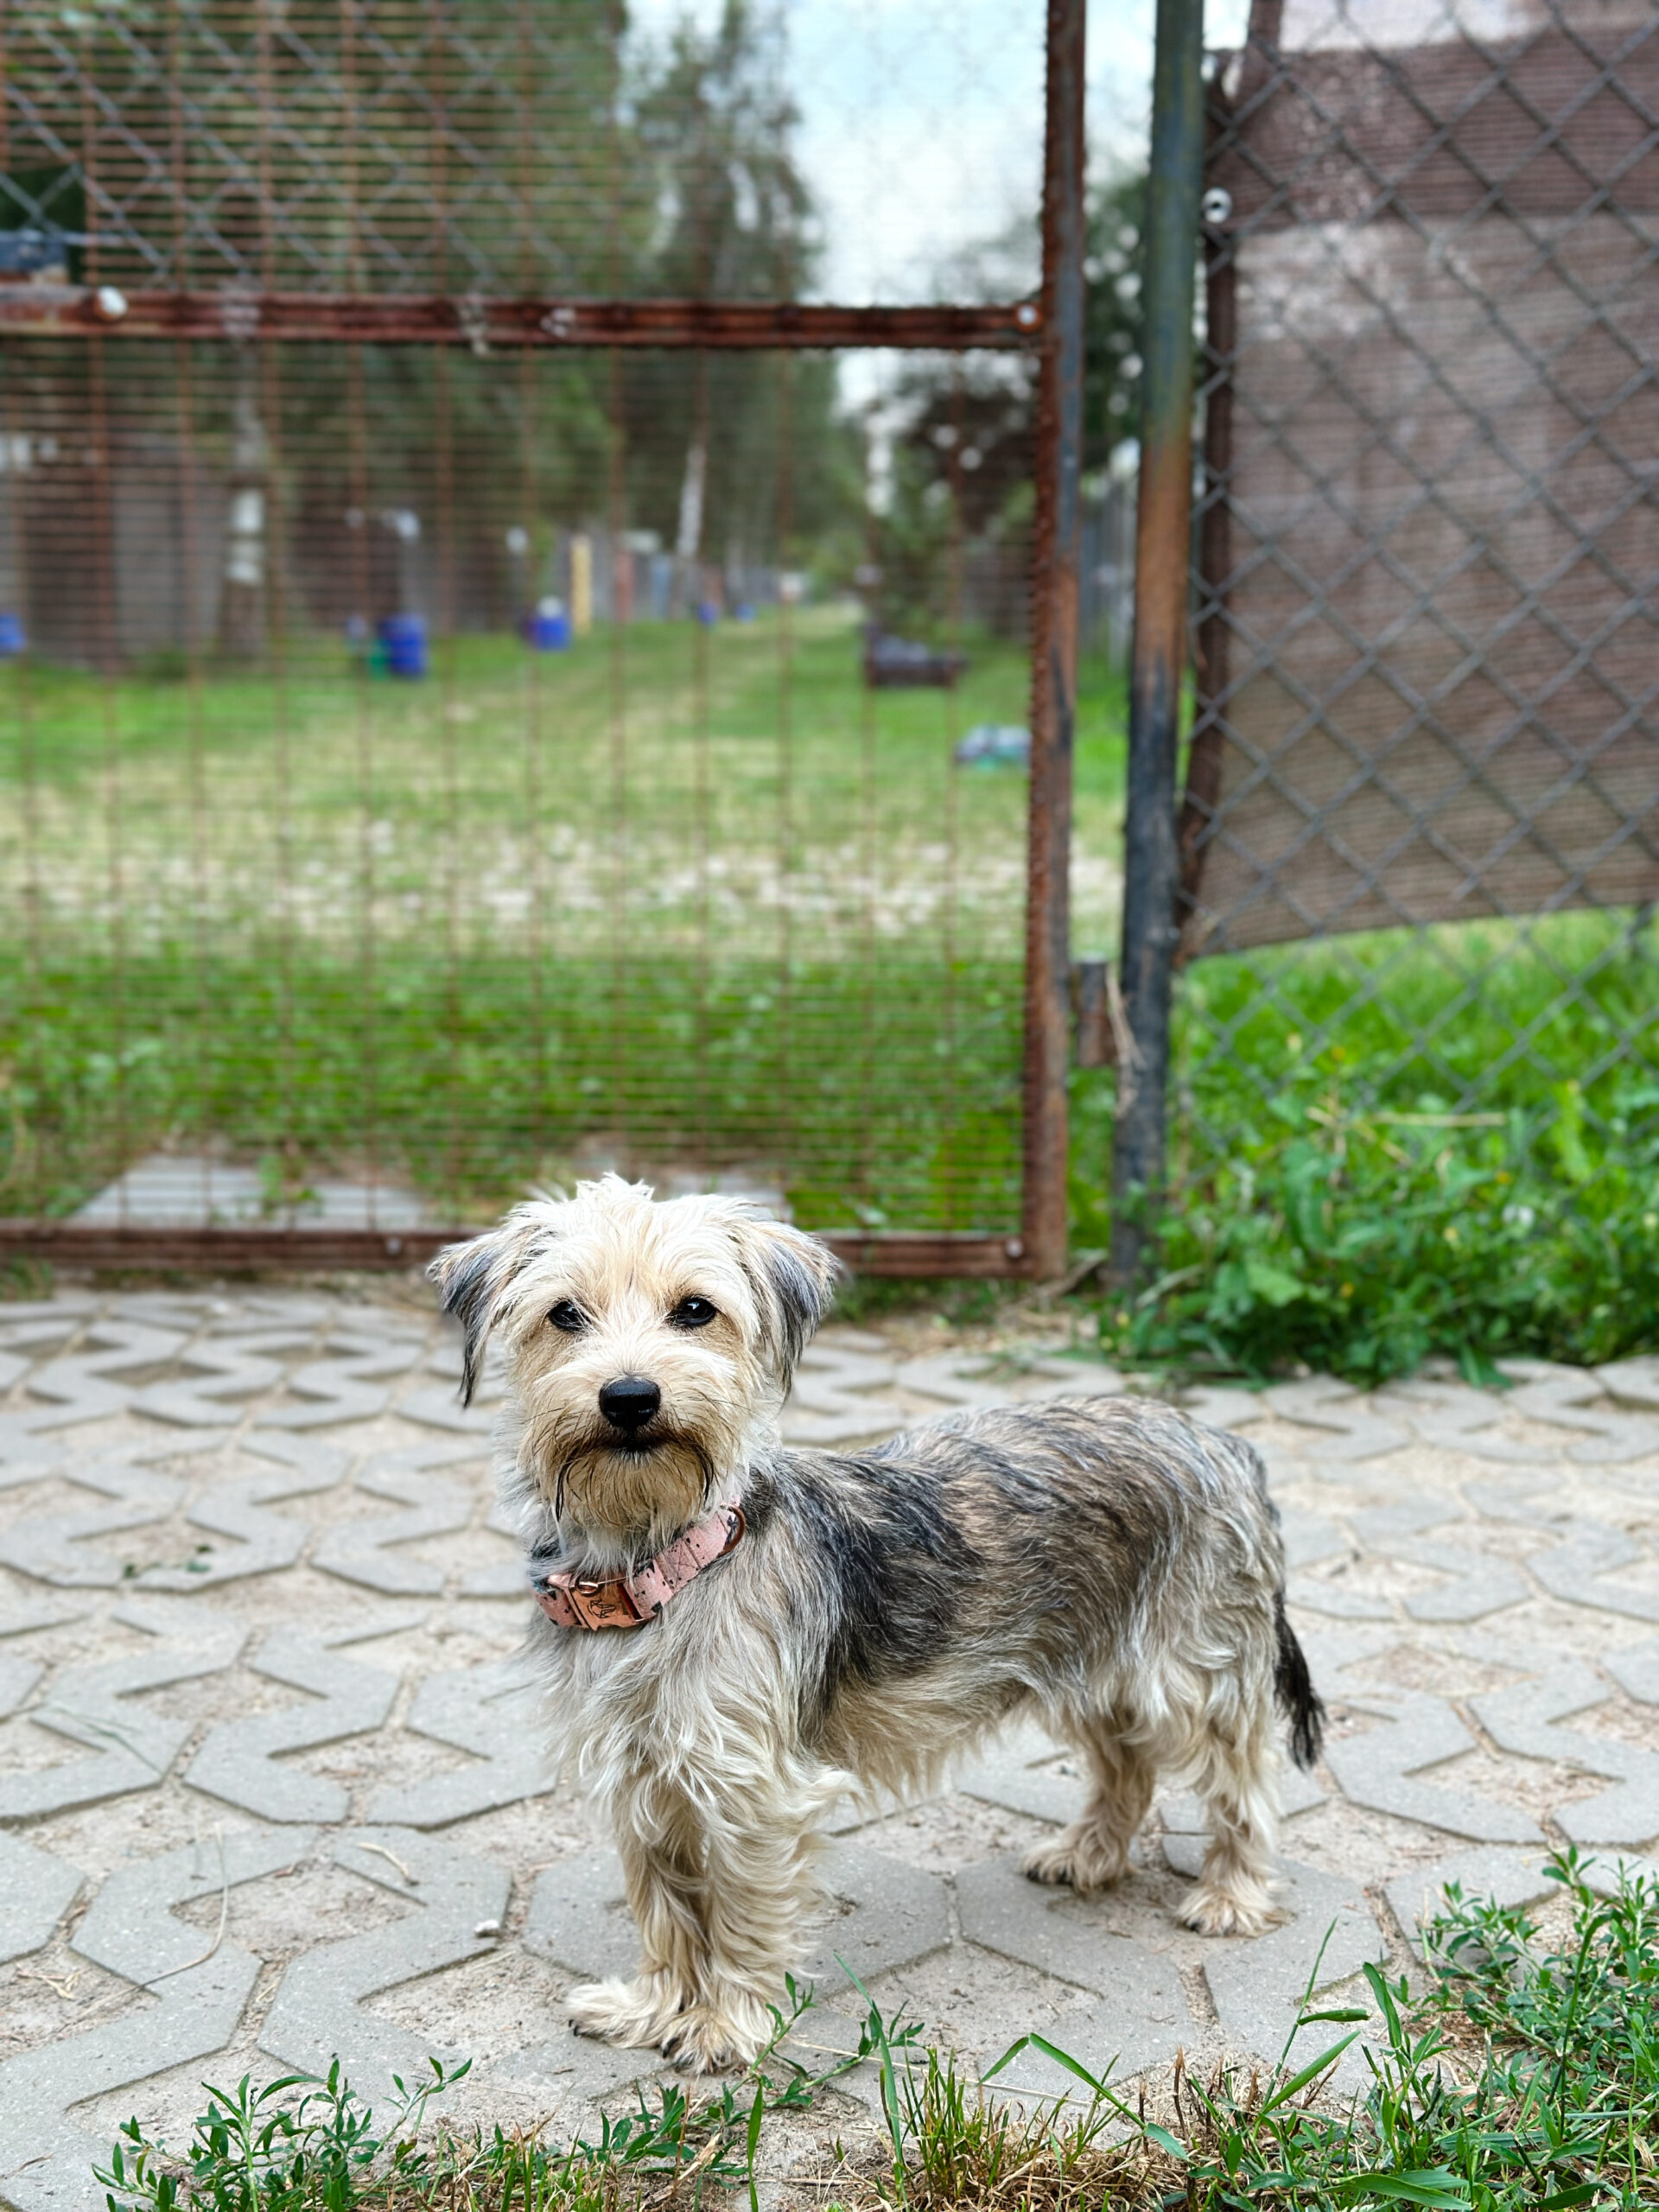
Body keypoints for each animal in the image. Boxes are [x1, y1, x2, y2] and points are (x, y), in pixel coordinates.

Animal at [432, 1175, 1324, 2075]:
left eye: (695, 1310)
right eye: (563, 1315)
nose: (629, 1396)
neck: (659, 1564)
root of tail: (1223, 1441)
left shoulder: (748, 1789)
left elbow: (738, 1912)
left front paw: (726, 2025)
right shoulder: (641, 1777)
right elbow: (666, 1909)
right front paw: (653, 2007)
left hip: (1187, 1670)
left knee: (1241, 1775)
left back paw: (1231, 1893)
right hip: (1090, 1661)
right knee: (1126, 1766)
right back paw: (1090, 1856)